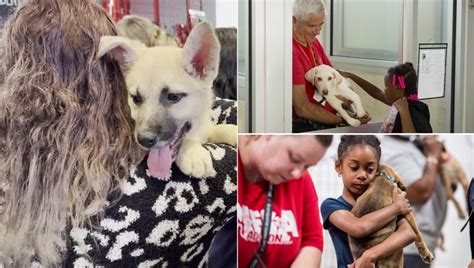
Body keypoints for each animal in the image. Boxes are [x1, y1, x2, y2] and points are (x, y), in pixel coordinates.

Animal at [96, 21, 237, 180]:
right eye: (136, 98)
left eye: (173, 97)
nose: (144, 140)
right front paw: (193, 153)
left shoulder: (205, 128)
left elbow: (220, 129)